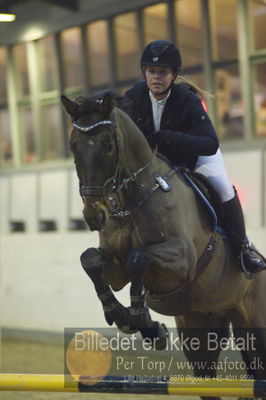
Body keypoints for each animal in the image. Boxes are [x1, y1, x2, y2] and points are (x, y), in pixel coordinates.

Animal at [61, 92, 266, 398]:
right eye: (73, 145)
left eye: (109, 145)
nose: (94, 215)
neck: (133, 197)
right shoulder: (116, 268)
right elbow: (91, 260)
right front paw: (122, 315)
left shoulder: (182, 261)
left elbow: (138, 258)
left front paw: (144, 322)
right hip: (201, 329)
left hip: (256, 328)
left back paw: (250, 260)